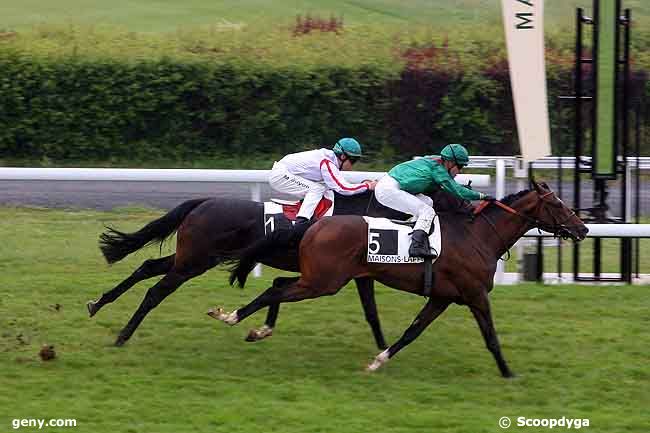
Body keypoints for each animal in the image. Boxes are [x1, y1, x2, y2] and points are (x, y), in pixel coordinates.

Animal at [86, 189, 416, 348]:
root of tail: (204, 202)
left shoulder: (359, 274)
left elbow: (371, 312)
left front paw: (384, 348)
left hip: (194, 257)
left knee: (147, 266)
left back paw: (97, 303)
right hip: (193, 262)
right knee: (156, 291)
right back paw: (122, 336)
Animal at [210, 181, 584, 376]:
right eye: (558, 204)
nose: (582, 228)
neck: (479, 236)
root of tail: (314, 224)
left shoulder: (443, 297)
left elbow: (412, 331)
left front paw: (379, 359)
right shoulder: (476, 294)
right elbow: (491, 336)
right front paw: (508, 372)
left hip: (320, 277)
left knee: (277, 286)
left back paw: (256, 327)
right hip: (324, 282)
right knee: (273, 293)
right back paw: (234, 317)